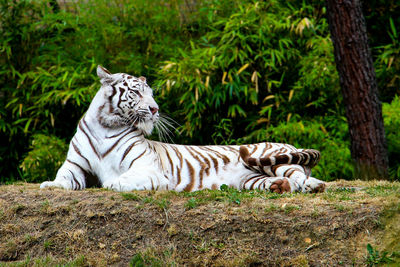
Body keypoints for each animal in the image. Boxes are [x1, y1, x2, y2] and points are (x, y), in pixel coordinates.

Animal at [39, 66, 324, 194]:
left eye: (152, 94)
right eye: (137, 93)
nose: (154, 109)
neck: (105, 125)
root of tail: (291, 144)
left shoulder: (146, 168)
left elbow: (116, 182)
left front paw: (108, 183)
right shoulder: (76, 166)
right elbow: (63, 178)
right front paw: (50, 184)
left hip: (272, 157)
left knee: (299, 173)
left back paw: (313, 185)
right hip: (250, 179)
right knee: (278, 181)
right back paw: (281, 186)